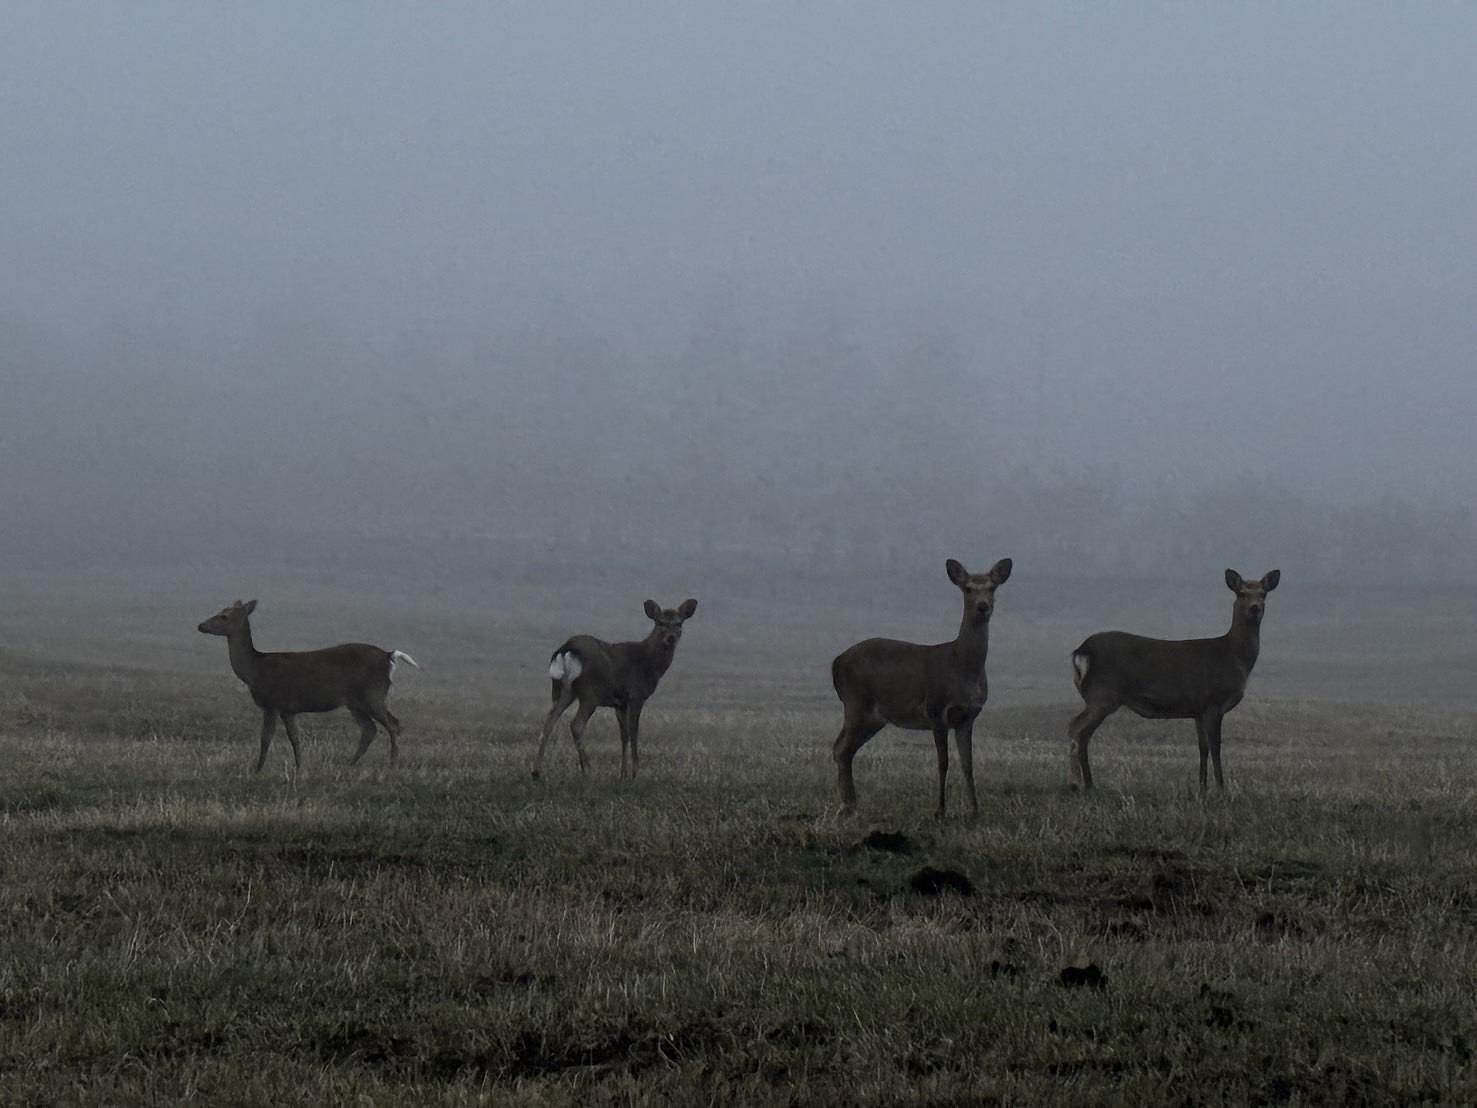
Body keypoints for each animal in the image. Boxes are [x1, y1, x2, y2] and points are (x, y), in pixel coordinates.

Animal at [193, 602, 419, 774]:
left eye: (224, 616)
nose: (200, 625)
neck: (255, 671)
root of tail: (389, 656)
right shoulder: (286, 709)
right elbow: (292, 738)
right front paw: (297, 766)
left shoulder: (275, 702)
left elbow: (269, 738)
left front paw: (260, 769)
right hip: (356, 702)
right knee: (369, 729)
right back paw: (349, 764)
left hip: (373, 693)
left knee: (393, 724)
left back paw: (392, 765)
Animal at [531, 599, 697, 780]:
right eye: (660, 622)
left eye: (679, 623)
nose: (671, 637)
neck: (649, 664)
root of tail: (567, 648)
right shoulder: (636, 695)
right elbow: (634, 731)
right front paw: (634, 772)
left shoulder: (620, 702)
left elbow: (623, 735)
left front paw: (622, 774)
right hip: (589, 692)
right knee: (576, 724)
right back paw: (587, 769)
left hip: (562, 689)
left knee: (550, 720)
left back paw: (537, 771)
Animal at [833, 558, 1016, 821]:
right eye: (968, 588)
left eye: (992, 587)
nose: (983, 606)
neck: (961, 666)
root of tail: (835, 664)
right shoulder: (936, 710)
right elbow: (943, 761)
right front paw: (940, 810)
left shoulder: (968, 716)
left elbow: (968, 763)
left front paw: (975, 810)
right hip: (855, 702)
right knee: (840, 748)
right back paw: (847, 806)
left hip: (874, 717)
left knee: (845, 749)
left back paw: (851, 805)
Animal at [1063, 567, 1282, 791]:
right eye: (1242, 593)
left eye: (1263, 594)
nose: (1255, 608)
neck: (1235, 657)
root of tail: (1082, 651)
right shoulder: (1214, 701)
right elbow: (1216, 746)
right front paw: (1221, 788)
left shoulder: (1198, 709)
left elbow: (1202, 747)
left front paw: (1202, 787)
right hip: (1102, 694)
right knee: (1076, 727)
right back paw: (1075, 783)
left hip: (1099, 697)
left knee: (1084, 734)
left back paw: (1089, 784)